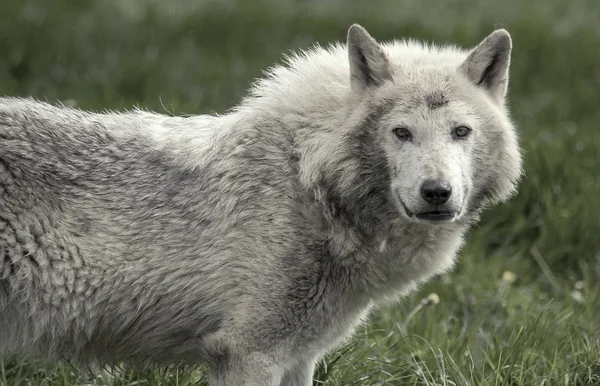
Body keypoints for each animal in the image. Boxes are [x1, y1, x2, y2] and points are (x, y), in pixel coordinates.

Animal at [0, 24, 520, 382]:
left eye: (460, 131)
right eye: (402, 132)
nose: (437, 192)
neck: (308, 183)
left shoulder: (300, 357)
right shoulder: (247, 354)